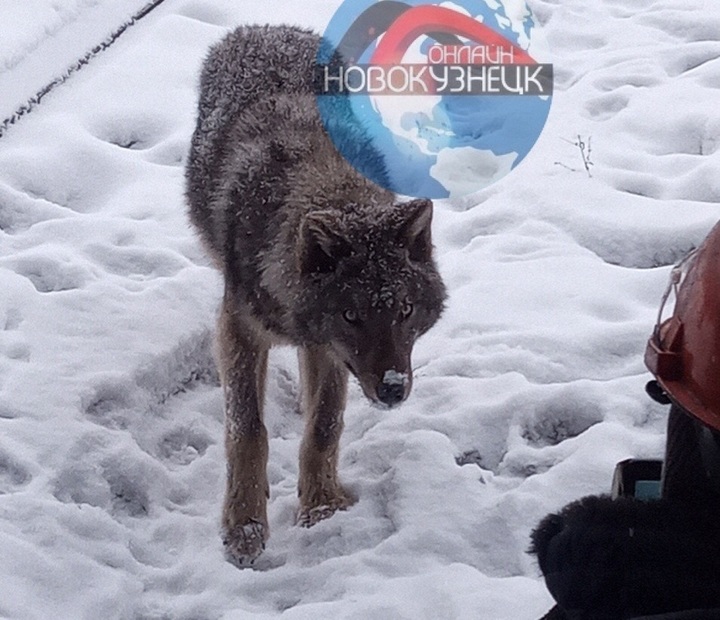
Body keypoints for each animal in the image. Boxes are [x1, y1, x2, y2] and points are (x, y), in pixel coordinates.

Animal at [184, 24, 444, 568]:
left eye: (405, 310)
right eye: (351, 315)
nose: (393, 388)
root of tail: (264, 28)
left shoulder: (327, 348)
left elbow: (325, 424)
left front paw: (322, 507)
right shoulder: (239, 330)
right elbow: (248, 430)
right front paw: (244, 528)